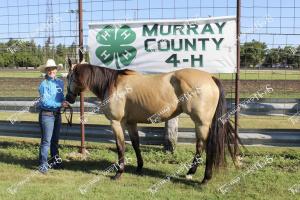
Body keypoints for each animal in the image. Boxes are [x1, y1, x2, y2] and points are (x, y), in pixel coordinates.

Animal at [65, 61, 239, 184]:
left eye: (69, 77)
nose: (68, 99)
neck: (113, 85)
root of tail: (210, 78)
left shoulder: (116, 123)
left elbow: (120, 147)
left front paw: (118, 173)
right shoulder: (131, 123)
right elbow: (135, 144)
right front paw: (139, 167)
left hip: (201, 123)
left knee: (206, 146)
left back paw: (203, 178)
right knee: (201, 146)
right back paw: (192, 173)